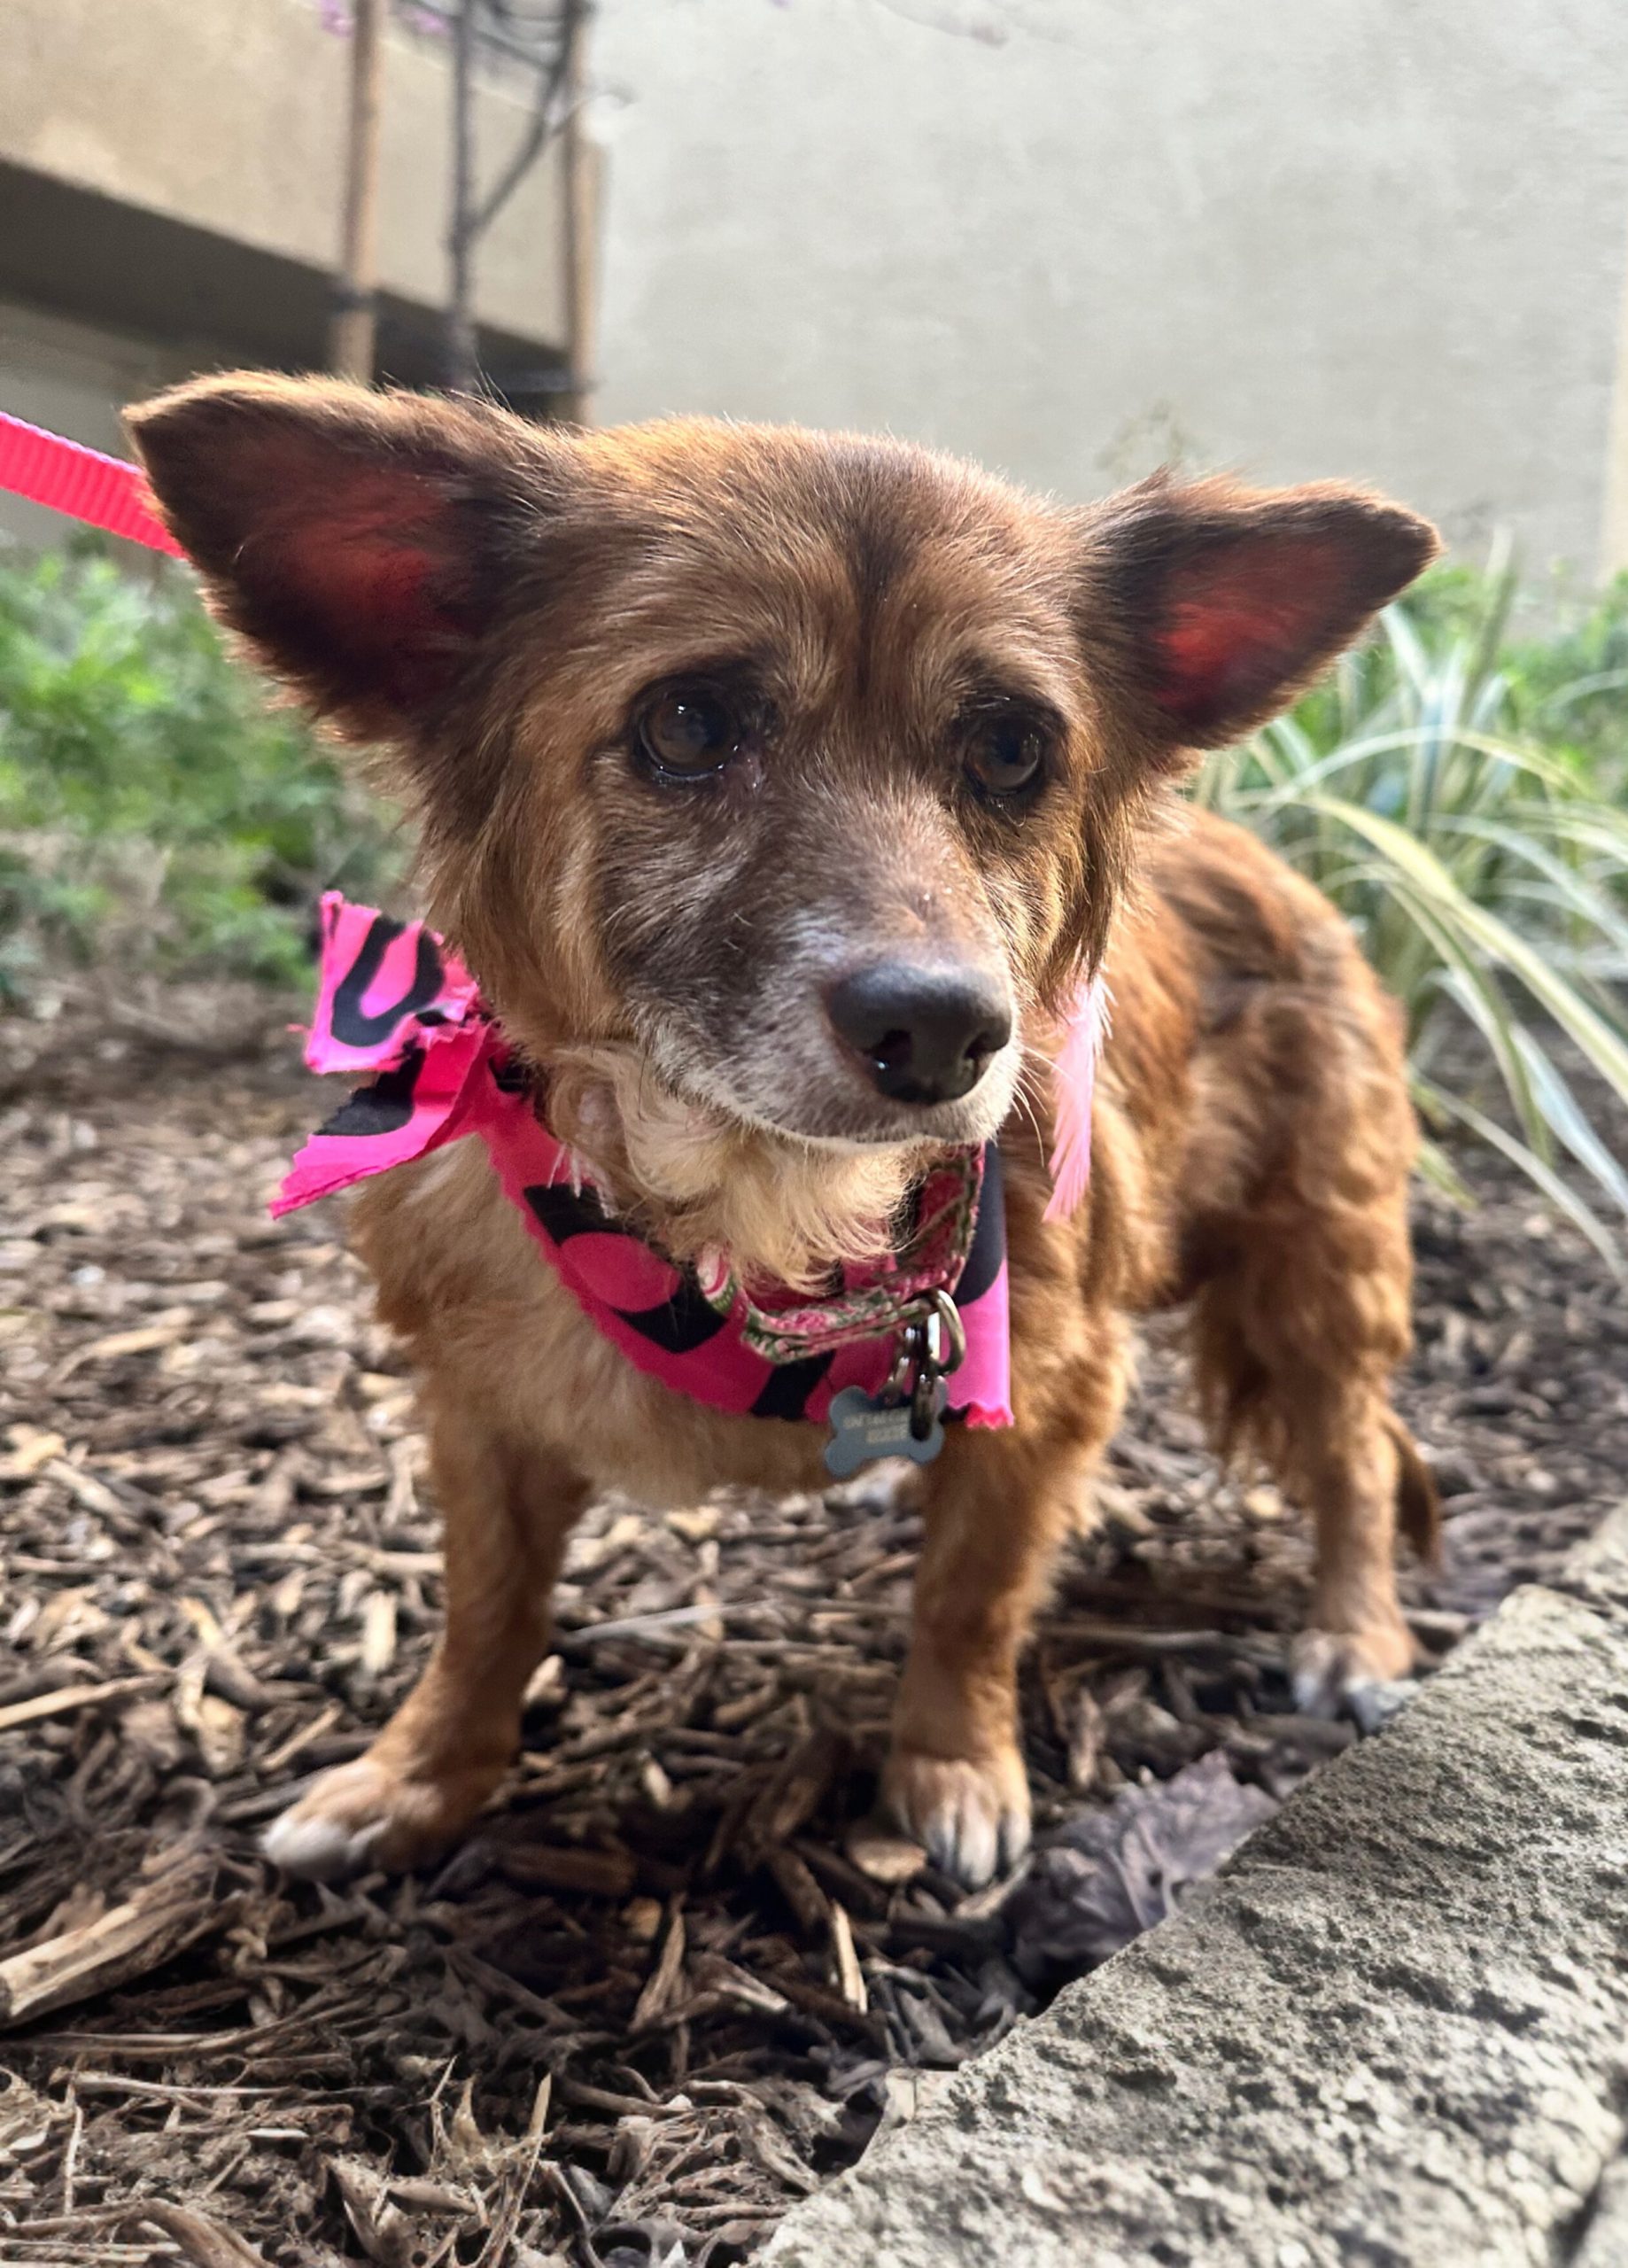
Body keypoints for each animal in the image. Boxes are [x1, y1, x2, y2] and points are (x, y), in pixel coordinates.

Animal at [134, 376, 1451, 1896]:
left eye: (1012, 751)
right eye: (690, 724)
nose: (943, 1031)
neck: (750, 1212)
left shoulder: (1053, 1390)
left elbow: (970, 1605)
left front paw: (949, 1767)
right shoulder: (481, 1407)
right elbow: (485, 1617)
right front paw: (417, 1778)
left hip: (1314, 1273)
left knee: (1353, 1454)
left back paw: (1354, 1635)